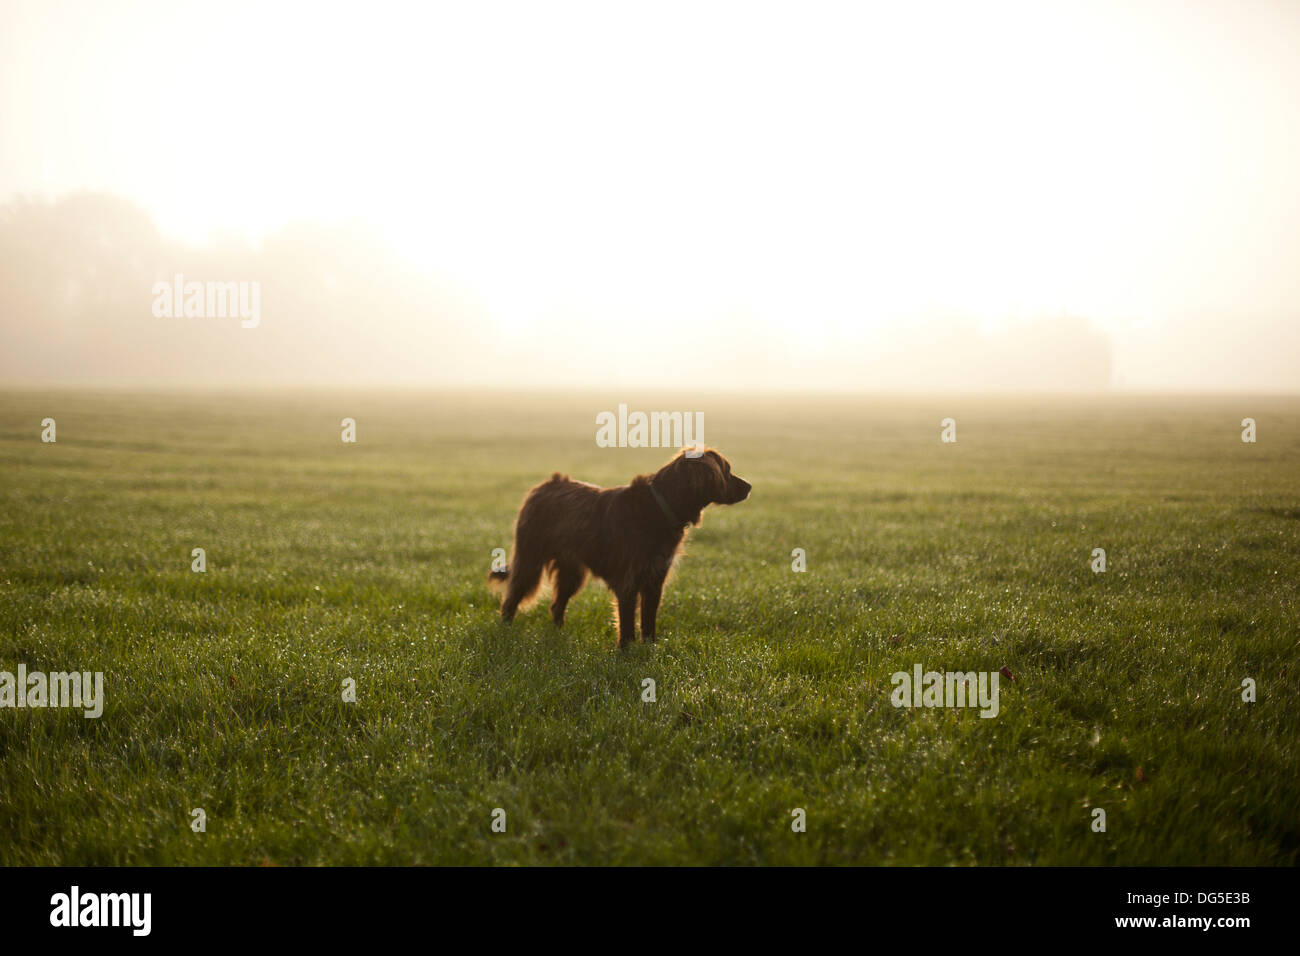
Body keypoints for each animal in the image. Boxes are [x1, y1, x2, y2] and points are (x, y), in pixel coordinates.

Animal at [488, 447, 754, 650]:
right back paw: (505, 630)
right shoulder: (629, 580)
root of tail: (544, 485)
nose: (750, 486)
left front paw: (650, 647)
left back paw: (558, 634)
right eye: (727, 471)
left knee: (556, 605)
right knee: (511, 598)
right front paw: (626, 652)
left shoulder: (655, 580)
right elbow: (626, 621)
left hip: (572, 572)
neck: (660, 506)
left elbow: (648, 619)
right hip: (530, 559)